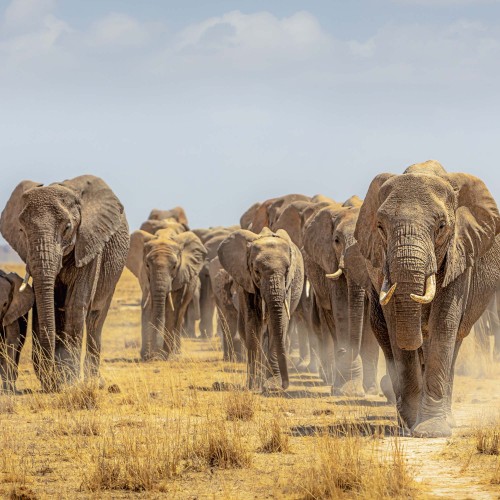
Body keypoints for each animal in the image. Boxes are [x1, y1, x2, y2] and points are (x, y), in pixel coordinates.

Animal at [0, 176, 129, 390]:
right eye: (22, 230)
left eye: (67, 228)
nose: (51, 379)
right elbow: (45, 305)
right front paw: (56, 382)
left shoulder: (90, 245)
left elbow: (75, 306)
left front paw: (69, 381)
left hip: (114, 273)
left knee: (95, 321)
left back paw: (93, 381)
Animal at [129, 226, 209, 360]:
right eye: (147, 265)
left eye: (174, 266)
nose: (155, 356)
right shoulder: (144, 276)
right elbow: (147, 305)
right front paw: (146, 356)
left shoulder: (180, 276)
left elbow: (172, 310)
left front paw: (164, 355)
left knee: (180, 314)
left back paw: (176, 353)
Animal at [219, 227, 304, 390]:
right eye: (257, 271)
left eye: (287, 270)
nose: (285, 385)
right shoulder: (246, 280)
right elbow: (253, 323)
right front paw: (253, 385)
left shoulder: (288, 286)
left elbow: (280, 322)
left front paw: (272, 384)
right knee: (245, 330)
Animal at [302, 195, 380, 394]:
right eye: (336, 240)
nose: (344, 351)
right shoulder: (329, 260)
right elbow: (341, 306)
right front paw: (346, 389)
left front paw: (370, 391)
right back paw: (333, 381)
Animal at [356, 160, 500, 438]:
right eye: (380, 226)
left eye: (441, 226)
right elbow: (396, 327)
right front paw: (412, 425)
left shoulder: (459, 253)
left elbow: (443, 324)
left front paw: (431, 431)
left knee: (454, 341)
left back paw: (446, 419)